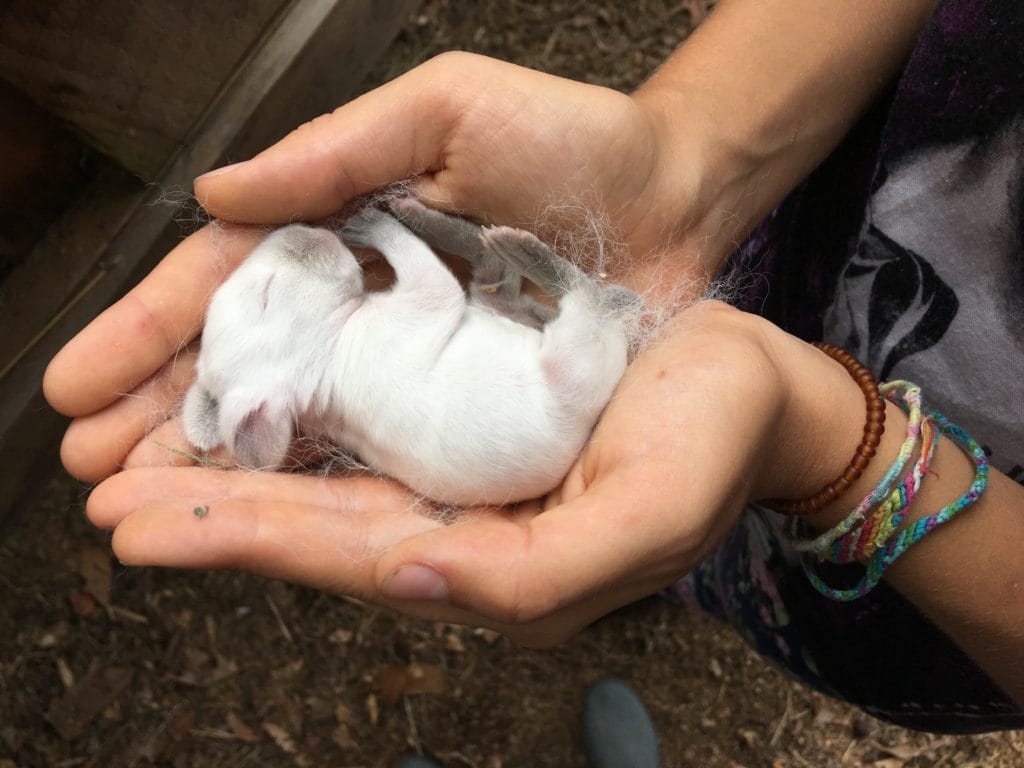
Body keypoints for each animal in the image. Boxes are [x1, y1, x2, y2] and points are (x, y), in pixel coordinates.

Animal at [182, 201, 630, 507]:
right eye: (266, 293)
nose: (299, 229)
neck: (328, 353)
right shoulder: (419, 307)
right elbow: (427, 270)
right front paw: (374, 224)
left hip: (503, 311)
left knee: (496, 289)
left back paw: (459, 231)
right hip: (577, 358)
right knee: (584, 297)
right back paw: (520, 249)